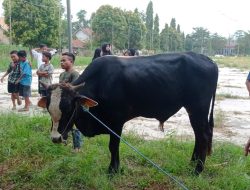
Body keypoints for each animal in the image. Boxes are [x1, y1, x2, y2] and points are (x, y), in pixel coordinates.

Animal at [38, 52, 218, 175]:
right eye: (48, 109)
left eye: (69, 108)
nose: (55, 138)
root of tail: (207, 59)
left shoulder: (116, 122)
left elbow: (113, 146)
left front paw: (113, 170)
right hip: (194, 111)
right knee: (198, 135)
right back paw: (192, 163)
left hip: (198, 109)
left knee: (203, 135)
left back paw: (197, 170)